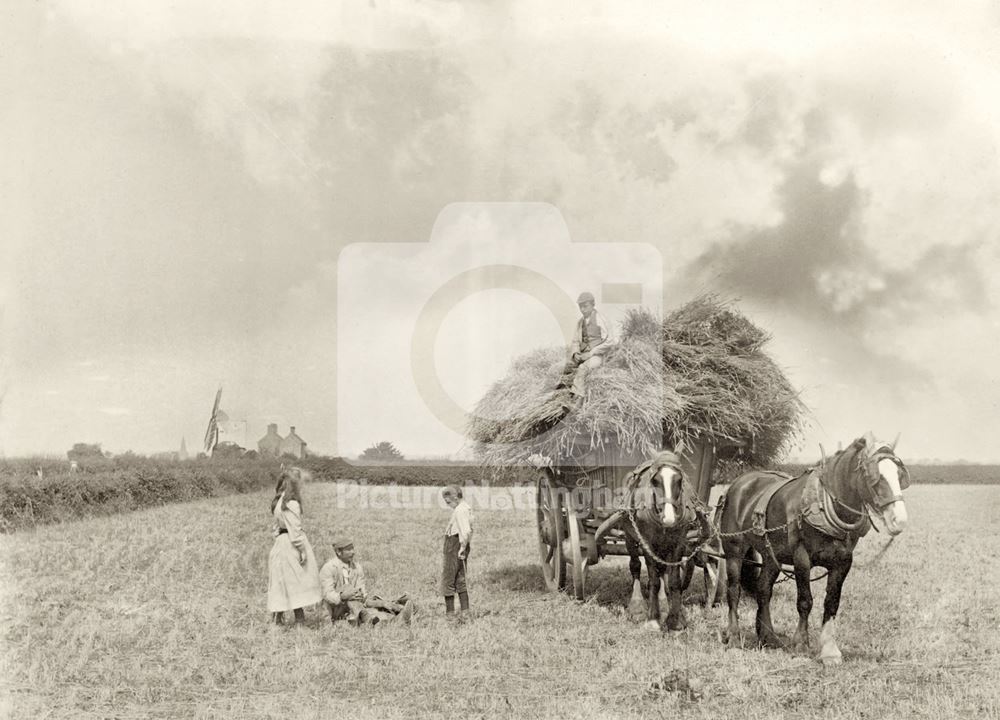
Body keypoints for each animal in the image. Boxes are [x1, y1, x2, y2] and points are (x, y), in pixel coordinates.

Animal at [616, 452, 712, 632]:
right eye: (655, 481)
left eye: (679, 480)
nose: (668, 518)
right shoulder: (647, 542)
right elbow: (653, 580)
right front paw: (653, 619)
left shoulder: (678, 542)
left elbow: (674, 581)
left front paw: (675, 620)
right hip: (629, 536)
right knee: (635, 566)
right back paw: (637, 606)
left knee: (663, 571)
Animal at [716, 434, 912, 664]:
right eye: (875, 477)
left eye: (899, 475)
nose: (900, 520)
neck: (821, 505)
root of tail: (737, 483)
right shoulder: (802, 557)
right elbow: (805, 601)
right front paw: (801, 643)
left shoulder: (843, 562)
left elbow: (832, 602)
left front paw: (829, 650)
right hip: (734, 550)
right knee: (733, 591)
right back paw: (734, 638)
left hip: (771, 555)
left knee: (763, 590)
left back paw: (769, 637)